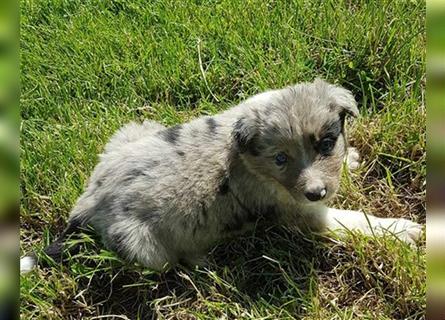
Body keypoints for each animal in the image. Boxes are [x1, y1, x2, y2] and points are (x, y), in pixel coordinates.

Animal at [20, 79, 424, 272]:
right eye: (280, 158)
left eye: (325, 143)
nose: (316, 192)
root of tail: (87, 205)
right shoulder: (301, 214)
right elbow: (355, 220)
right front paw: (404, 230)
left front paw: (351, 160)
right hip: (145, 246)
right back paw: (202, 260)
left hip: (133, 131)